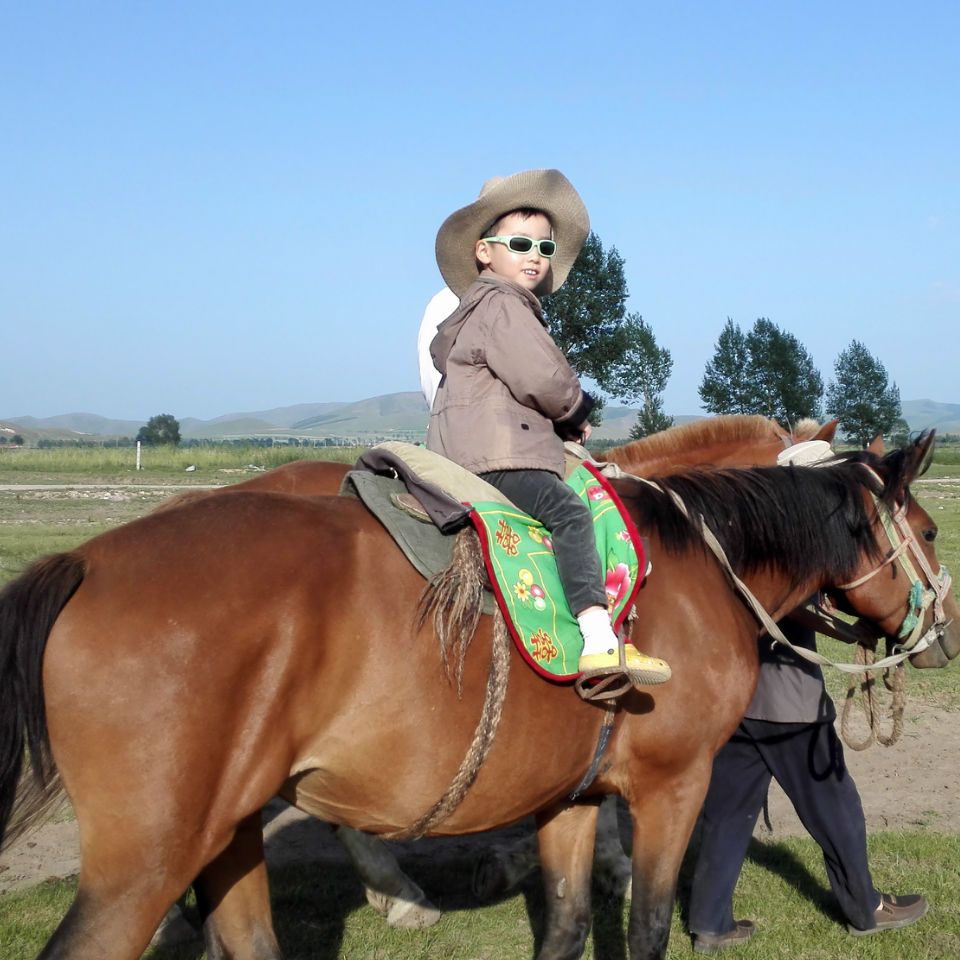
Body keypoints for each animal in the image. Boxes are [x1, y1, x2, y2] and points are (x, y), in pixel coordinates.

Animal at [1, 432, 957, 960]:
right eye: (931, 528)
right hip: (144, 863)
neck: (692, 562)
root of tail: (83, 561)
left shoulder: (570, 797)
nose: (946, 632)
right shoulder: (673, 786)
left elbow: (565, 928)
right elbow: (647, 926)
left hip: (227, 834)